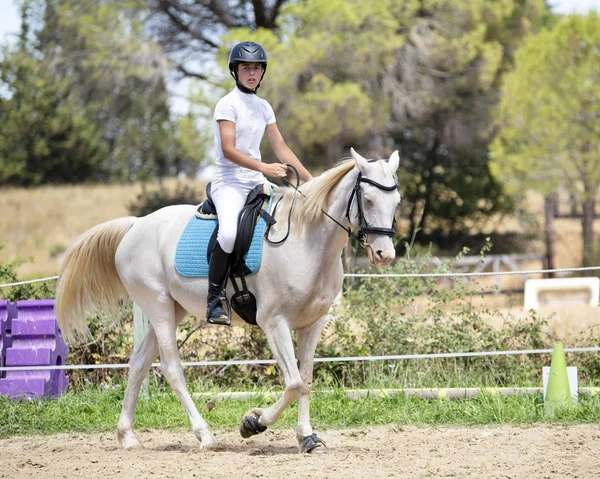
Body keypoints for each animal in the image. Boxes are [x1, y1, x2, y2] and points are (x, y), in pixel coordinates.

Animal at [54, 148, 400, 456]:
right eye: (368, 200)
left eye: (396, 201)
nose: (385, 255)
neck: (307, 241)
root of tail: (136, 224)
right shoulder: (275, 323)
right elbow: (293, 384)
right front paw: (253, 422)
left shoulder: (312, 325)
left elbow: (306, 380)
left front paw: (306, 438)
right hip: (158, 305)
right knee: (171, 368)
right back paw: (205, 436)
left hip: (172, 310)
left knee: (138, 363)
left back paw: (127, 436)